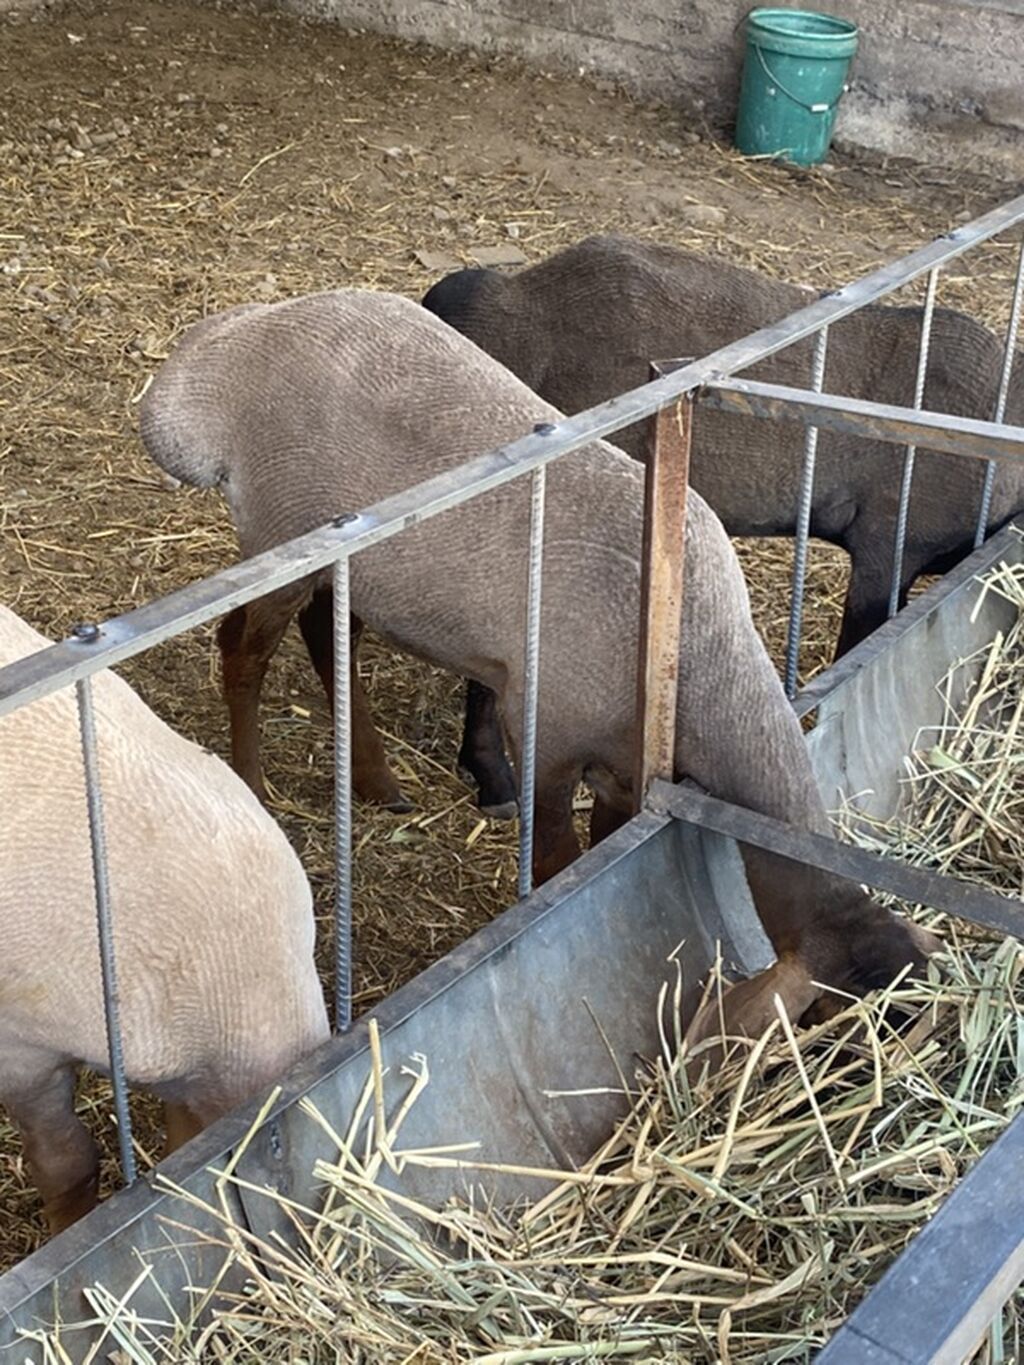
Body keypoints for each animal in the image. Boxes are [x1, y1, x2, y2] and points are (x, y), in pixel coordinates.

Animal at [139, 288, 935, 1046]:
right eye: (834, 1025)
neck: (700, 654)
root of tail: (219, 354)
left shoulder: (624, 765)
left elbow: (606, 845)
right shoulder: (547, 736)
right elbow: (556, 860)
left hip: (357, 566)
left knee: (326, 636)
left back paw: (376, 779)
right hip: (281, 532)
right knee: (242, 647)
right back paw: (254, 785)